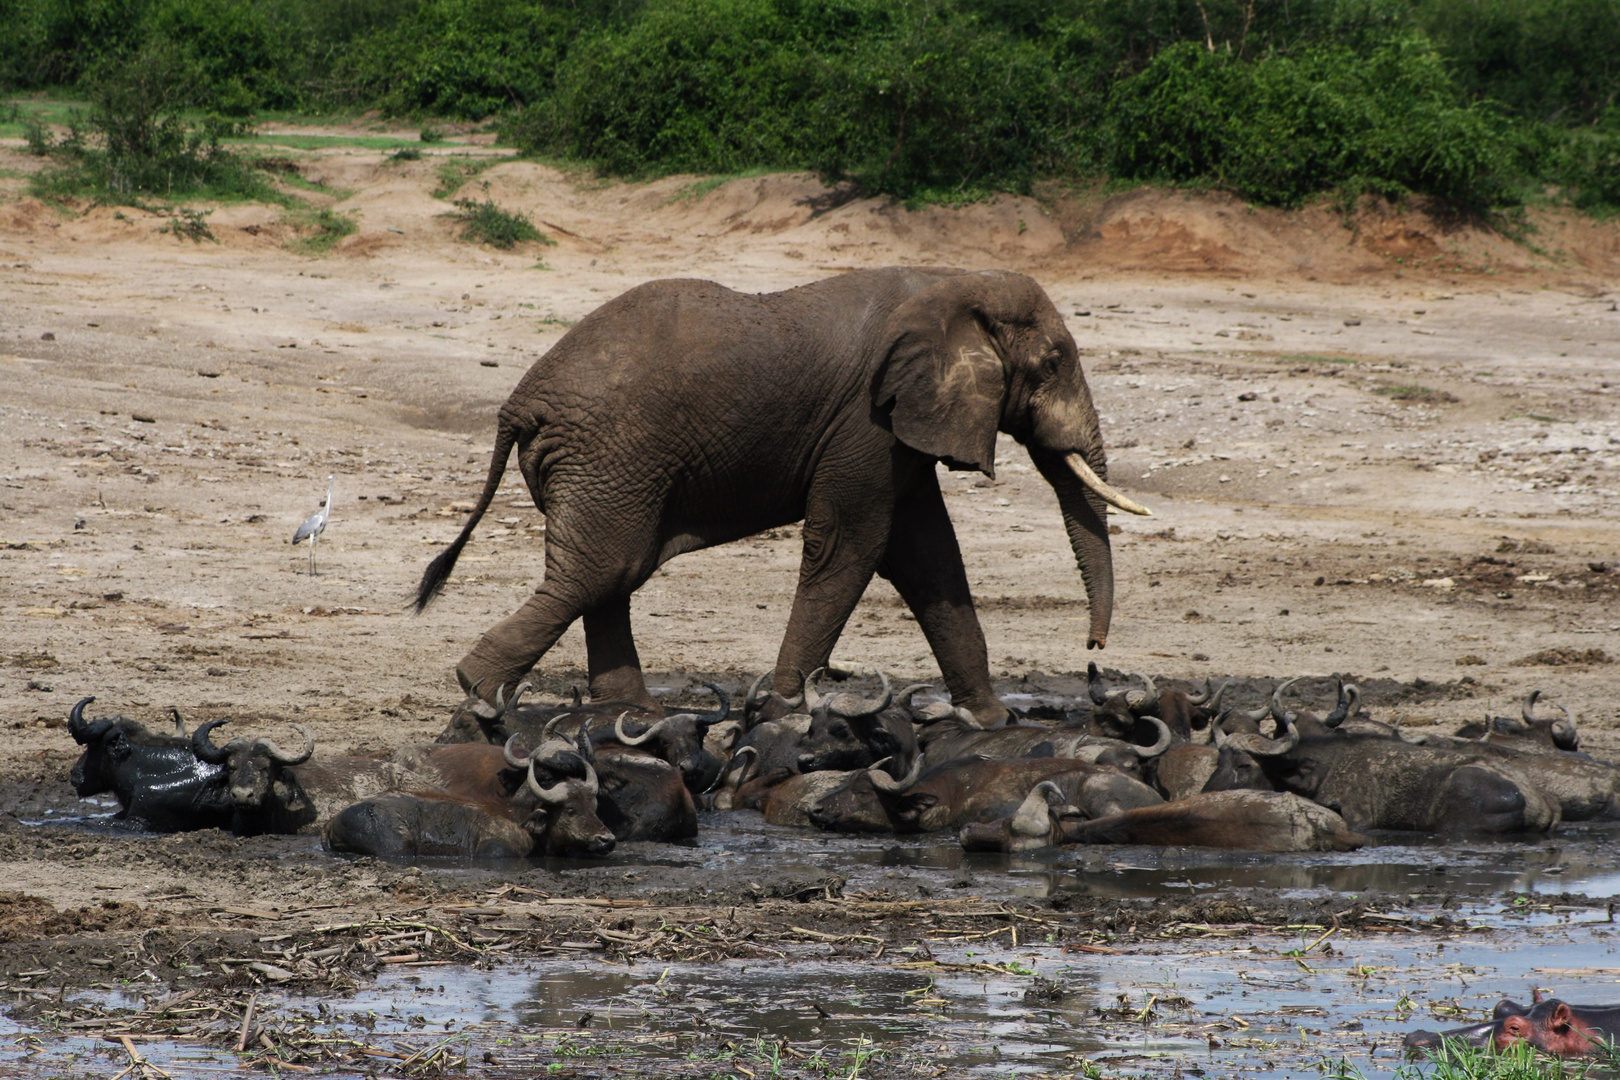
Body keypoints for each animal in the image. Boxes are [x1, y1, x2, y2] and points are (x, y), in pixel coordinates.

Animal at [417, 268, 1153, 725]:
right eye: (1053, 362)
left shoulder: (898, 428)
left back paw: (631, 714)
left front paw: (992, 721)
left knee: (607, 576)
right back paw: (479, 690)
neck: (954, 280)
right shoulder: (865, 421)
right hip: (610, 455)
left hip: (608, 465)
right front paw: (782, 712)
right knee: (603, 571)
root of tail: (518, 402)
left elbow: (926, 557)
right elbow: (853, 545)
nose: (1094, 646)